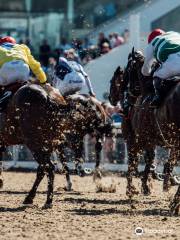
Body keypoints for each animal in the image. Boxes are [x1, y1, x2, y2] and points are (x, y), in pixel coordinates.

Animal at [109, 49, 179, 215]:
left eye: (112, 81)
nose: (110, 98)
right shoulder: (153, 141)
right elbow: (151, 161)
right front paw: (149, 184)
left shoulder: (138, 139)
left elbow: (136, 162)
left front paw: (135, 188)